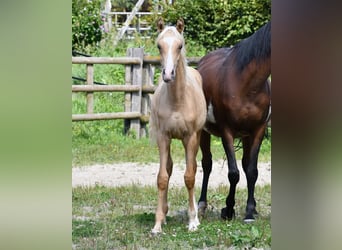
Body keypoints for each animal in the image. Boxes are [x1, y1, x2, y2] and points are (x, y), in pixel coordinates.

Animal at [150, 18, 206, 234]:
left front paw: (193, 221)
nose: (168, 74)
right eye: (159, 46)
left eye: (180, 45)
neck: (177, 100)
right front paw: (157, 224)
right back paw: (165, 214)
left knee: (194, 167)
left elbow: (189, 176)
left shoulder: (189, 137)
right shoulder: (163, 137)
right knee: (169, 167)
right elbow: (162, 177)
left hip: (195, 138)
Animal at [196, 20, 272, 222]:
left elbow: (252, 171)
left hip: (246, 136)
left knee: (245, 165)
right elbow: (233, 173)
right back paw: (201, 205)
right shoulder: (227, 131)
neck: (248, 84)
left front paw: (250, 212)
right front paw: (228, 209)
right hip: (203, 132)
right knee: (207, 164)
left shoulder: (258, 130)